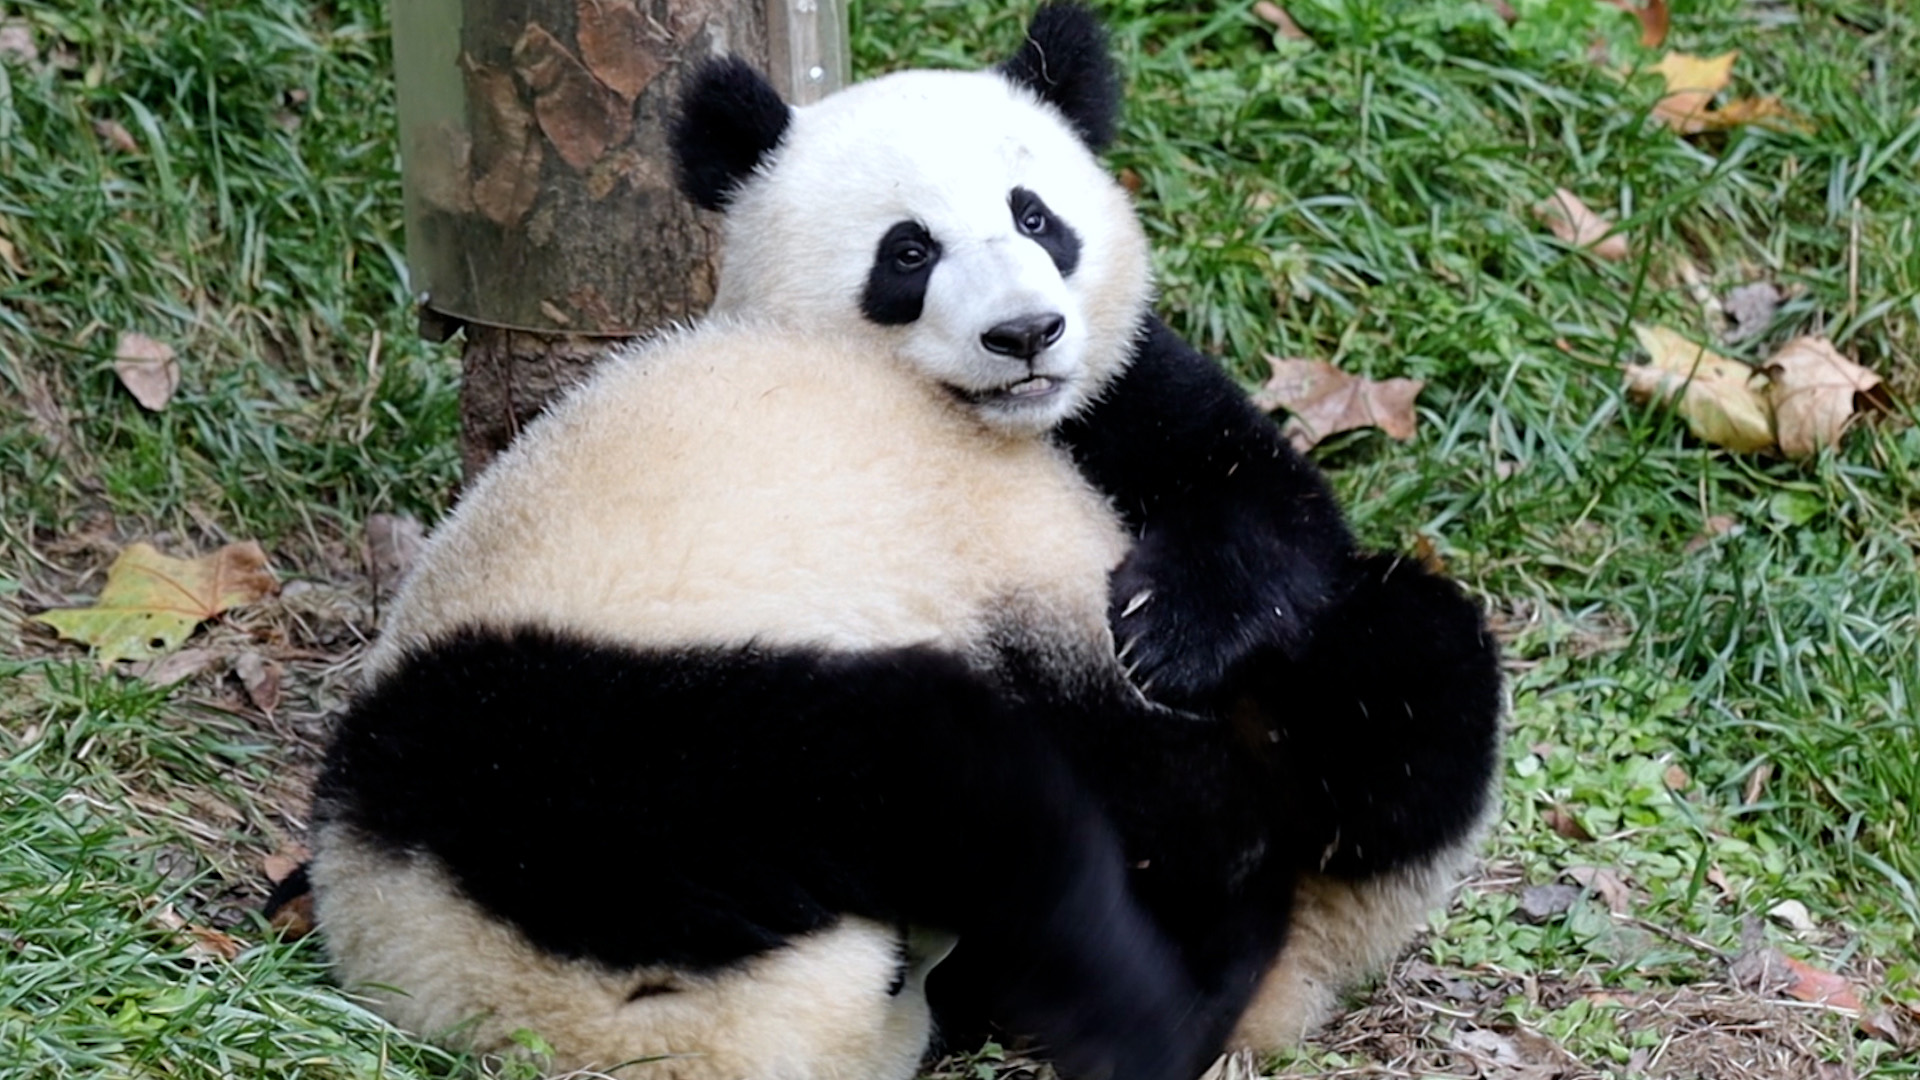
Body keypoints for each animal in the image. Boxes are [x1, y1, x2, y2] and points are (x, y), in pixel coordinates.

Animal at [304, 5, 1500, 1080]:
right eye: (908, 252)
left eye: (1036, 218)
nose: (1025, 334)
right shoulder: (631, 750)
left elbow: (1257, 502)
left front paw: (1173, 639)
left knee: (1403, 666)